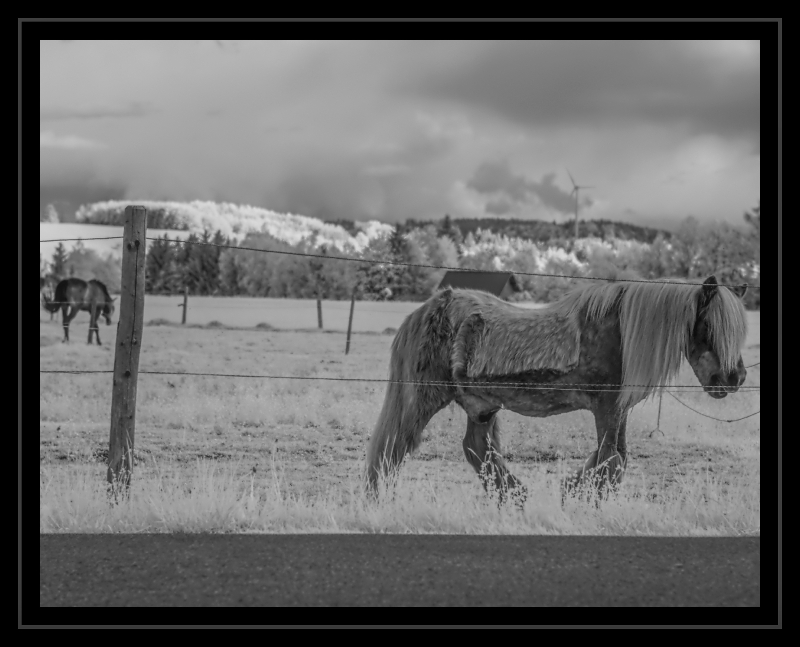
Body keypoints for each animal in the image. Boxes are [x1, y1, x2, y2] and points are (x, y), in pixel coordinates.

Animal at [368, 276, 752, 504]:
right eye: (708, 327)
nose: (733, 379)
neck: (619, 334)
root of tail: (431, 307)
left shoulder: (618, 410)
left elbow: (613, 458)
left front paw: (572, 491)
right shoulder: (606, 408)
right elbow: (611, 459)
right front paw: (586, 500)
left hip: (482, 405)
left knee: (477, 449)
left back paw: (515, 497)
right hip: (422, 397)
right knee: (392, 448)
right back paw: (378, 499)